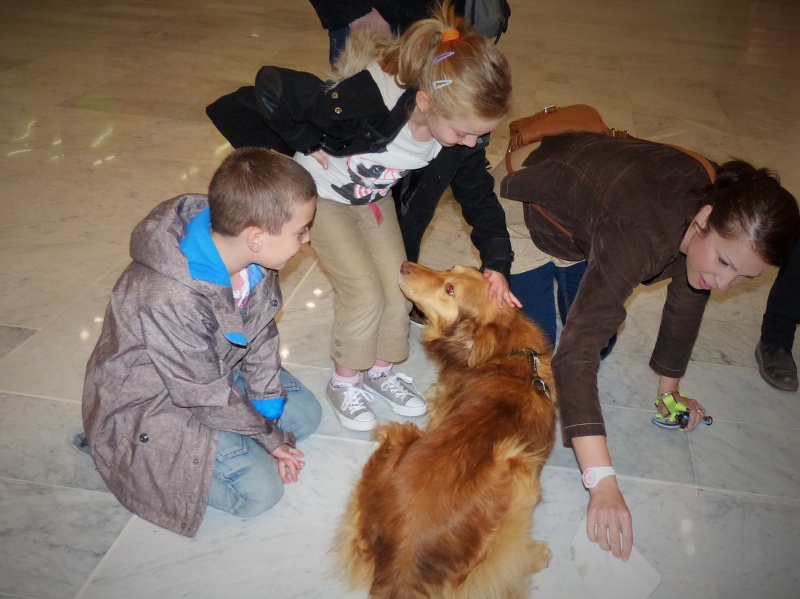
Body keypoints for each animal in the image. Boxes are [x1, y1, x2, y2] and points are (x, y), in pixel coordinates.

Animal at [336, 262, 556, 599]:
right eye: (453, 267)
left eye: (450, 289)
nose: (404, 265)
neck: (506, 353)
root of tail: (401, 561)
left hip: (517, 474)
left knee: (506, 564)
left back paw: (537, 554)